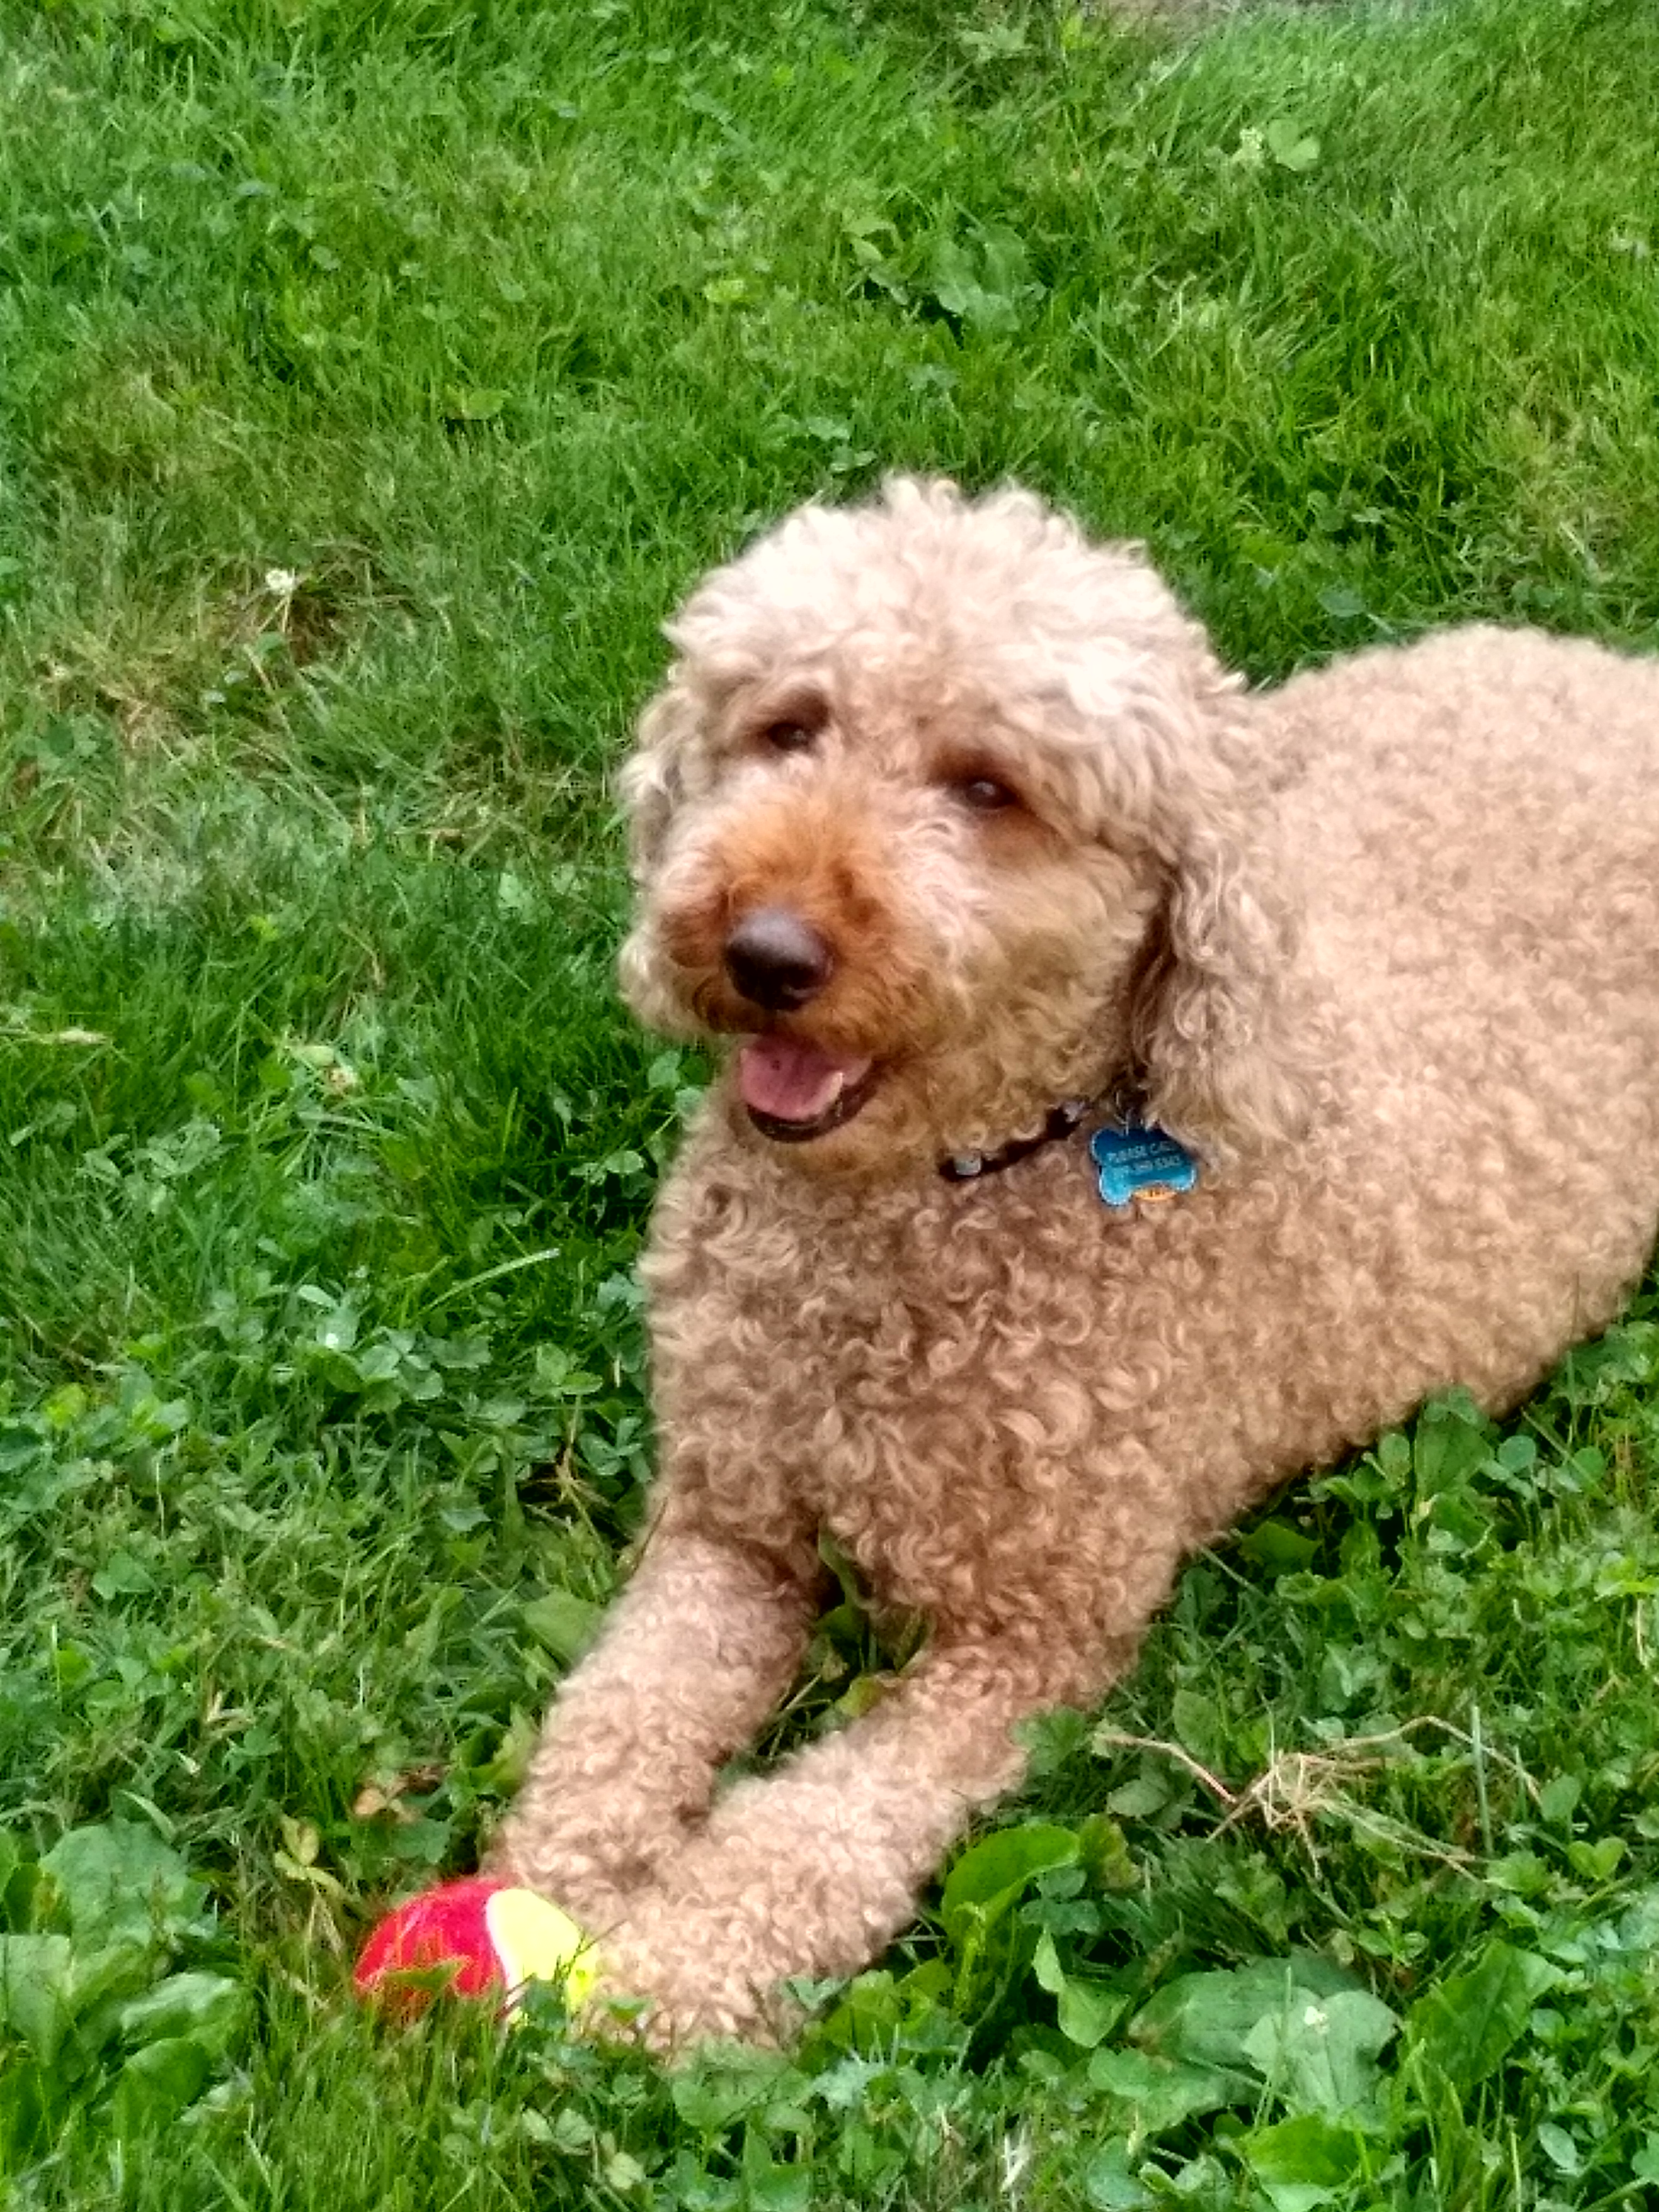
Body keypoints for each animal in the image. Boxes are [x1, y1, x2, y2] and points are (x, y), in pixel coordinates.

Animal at [487, 480, 1659, 2035]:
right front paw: (554, 1885)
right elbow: (618, 1711)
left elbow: (819, 1831)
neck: (939, 1200)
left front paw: (661, 1972)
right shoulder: (727, 1526)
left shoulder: (1031, 1641)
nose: (764, 950)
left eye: (991, 790)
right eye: (790, 726)